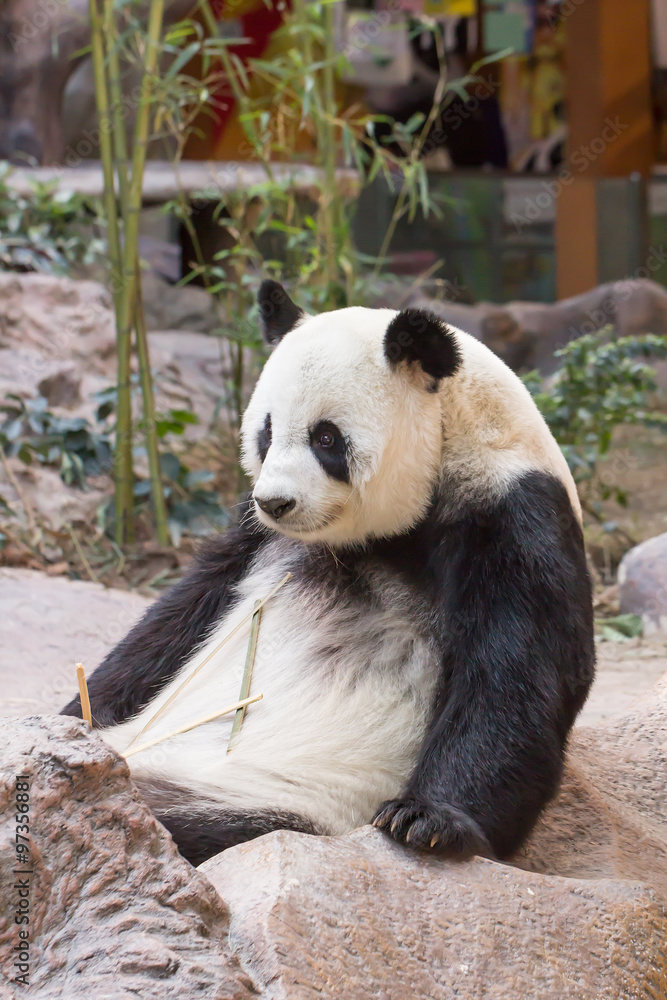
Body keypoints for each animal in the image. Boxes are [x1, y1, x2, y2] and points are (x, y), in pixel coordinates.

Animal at [62, 280, 595, 867]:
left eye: (325, 438)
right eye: (267, 432)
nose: (276, 502)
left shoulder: (512, 514)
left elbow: (516, 676)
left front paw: (428, 821)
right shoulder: (253, 537)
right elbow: (181, 613)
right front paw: (74, 715)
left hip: (269, 802)